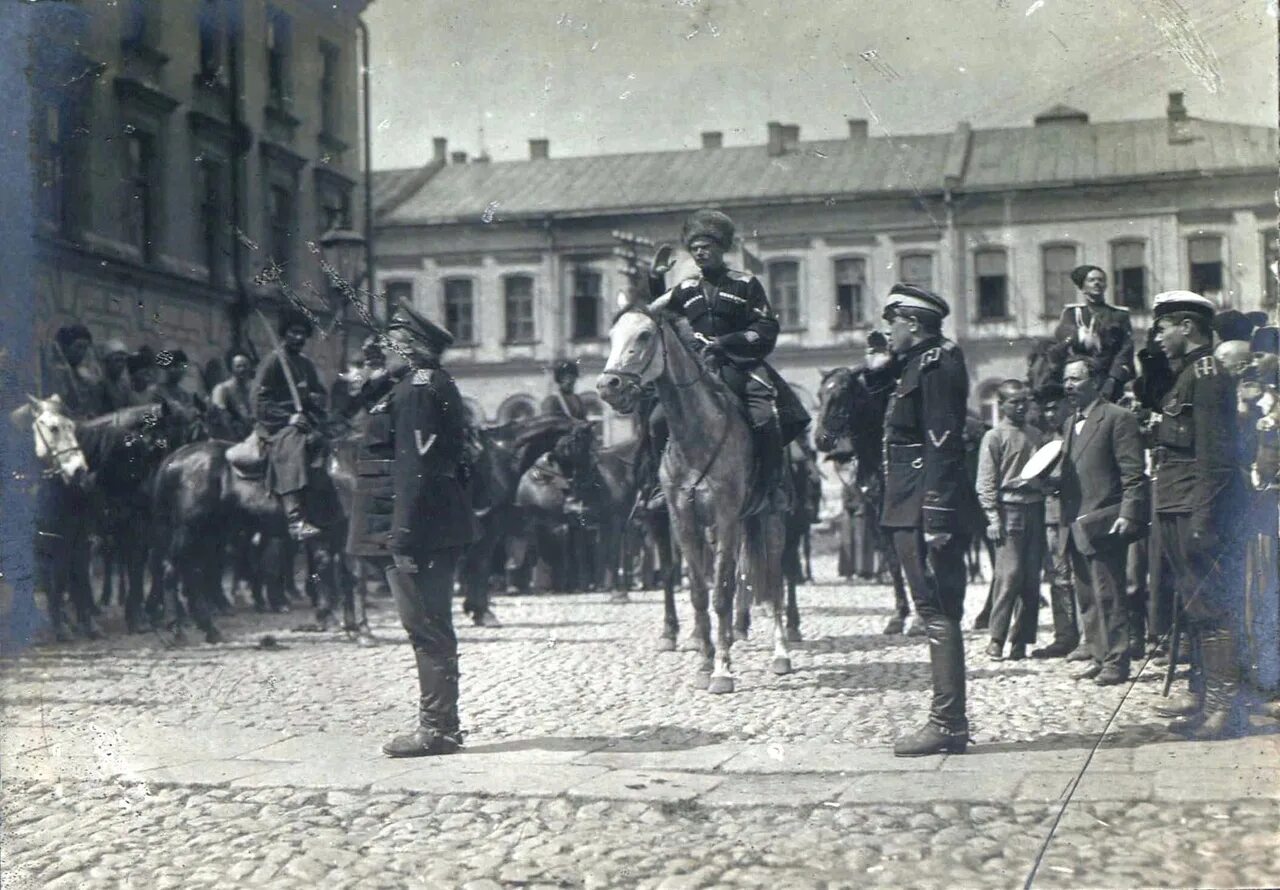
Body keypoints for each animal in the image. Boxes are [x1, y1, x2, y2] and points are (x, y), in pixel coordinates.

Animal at [819, 366, 911, 632]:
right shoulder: (879, 516)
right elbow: (894, 560)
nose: (821, 439)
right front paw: (899, 615)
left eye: (843, 394)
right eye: (820, 395)